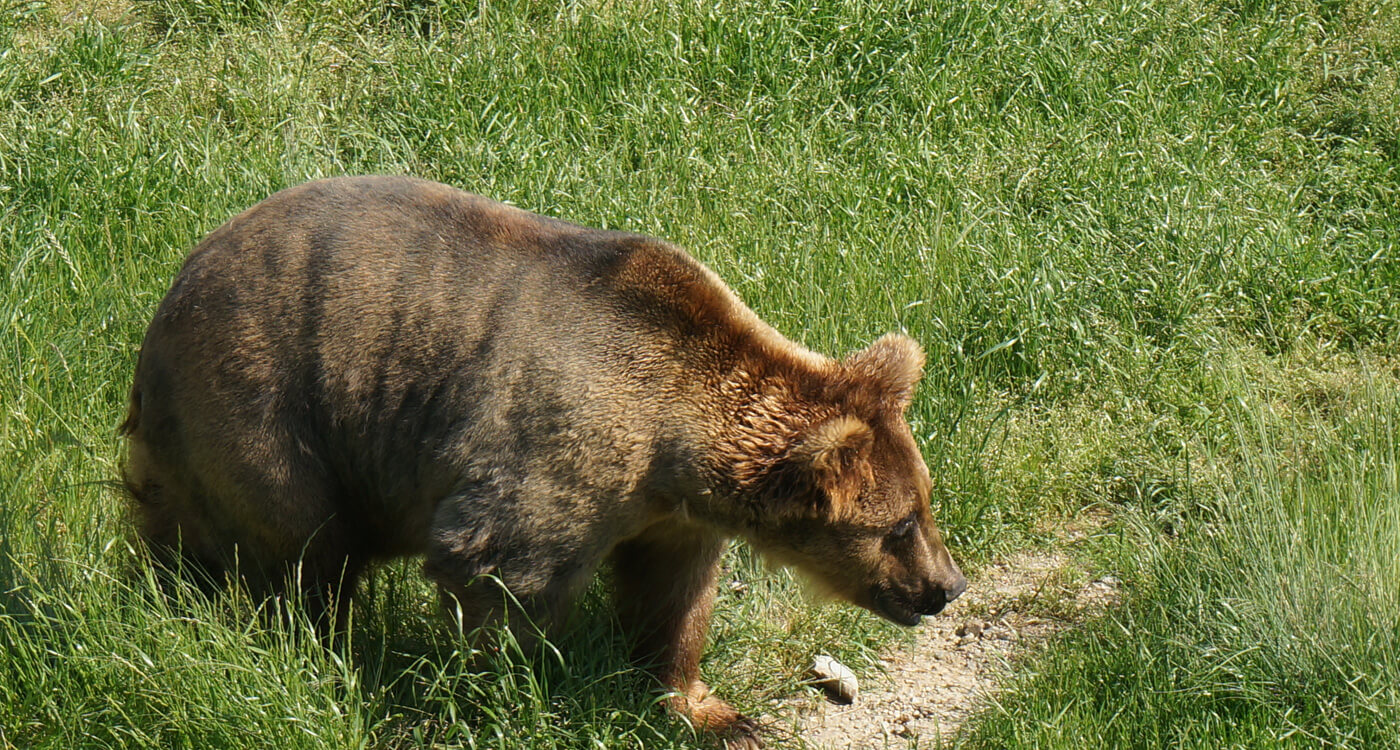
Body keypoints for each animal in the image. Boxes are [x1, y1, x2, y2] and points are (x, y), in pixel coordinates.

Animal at [123, 174, 963, 744]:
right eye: (896, 526)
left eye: (925, 503)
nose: (946, 586)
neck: (673, 445)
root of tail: (171, 294)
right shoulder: (563, 449)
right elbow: (506, 570)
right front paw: (516, 695)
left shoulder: (670, 515)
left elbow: (672, 600)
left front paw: (710, 710)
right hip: (268, 404)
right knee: (299, 552)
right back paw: (312, 647)